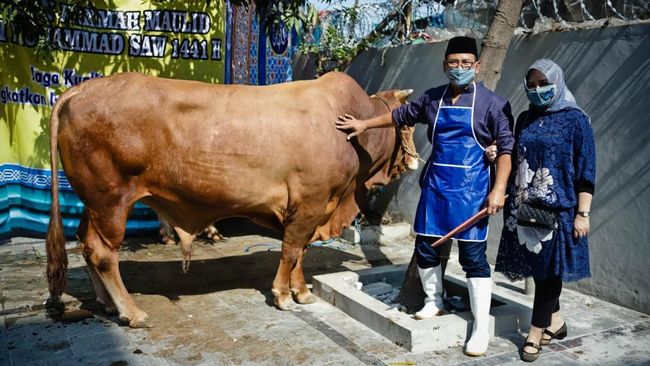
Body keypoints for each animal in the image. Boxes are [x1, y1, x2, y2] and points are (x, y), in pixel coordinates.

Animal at [46, 71, 420, 326]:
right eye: (409, 123)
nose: (415, 159)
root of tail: (81, 88)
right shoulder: (308, 204)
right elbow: (290, 251)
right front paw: (283, 295)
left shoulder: (314, 209)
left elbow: (301, 253)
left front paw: (302, 292)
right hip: (111, 199)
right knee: (103, 252)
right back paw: (131, 311)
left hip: (92, 202)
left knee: (85, 243)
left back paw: (107, 303)